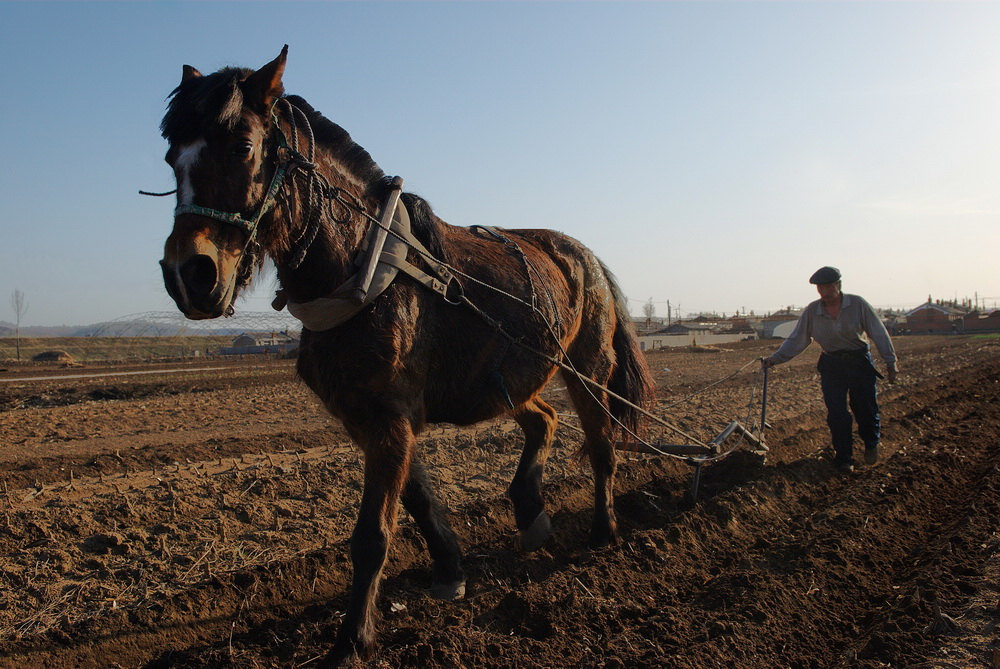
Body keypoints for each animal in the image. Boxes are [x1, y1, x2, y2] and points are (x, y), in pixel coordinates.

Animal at [156, 45, 656, 664]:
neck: (362, 268)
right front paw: (450, 569)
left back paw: (603, 530)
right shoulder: (369, 416)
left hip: (587, 370)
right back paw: (530, 509)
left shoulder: (390, 415)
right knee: (544, 419)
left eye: (244, 147)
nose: (189, 275)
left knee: (602, 444)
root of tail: (582, 254)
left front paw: (352, 638)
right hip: (512, 376)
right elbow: (416, 500)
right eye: (172, 158)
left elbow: (373, 533)